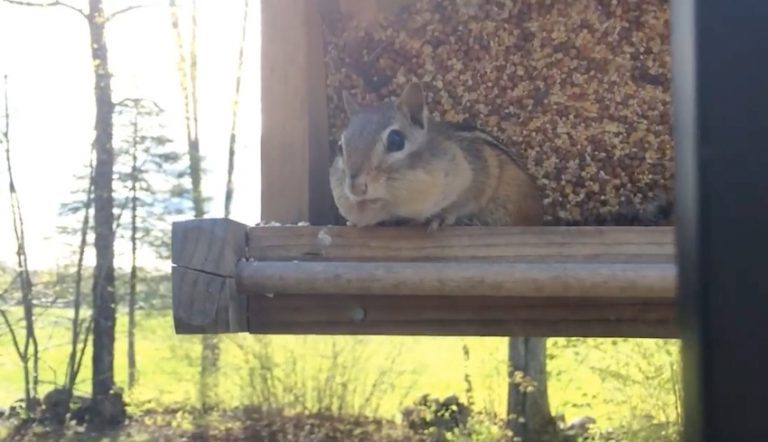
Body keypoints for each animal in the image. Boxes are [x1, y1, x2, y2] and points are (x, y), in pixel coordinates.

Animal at [329, 81, 544, 229]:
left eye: (396, 141)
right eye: (340, 147)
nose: (356, 188)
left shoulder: (477, 172)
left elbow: (463, 200)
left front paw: (442, 217)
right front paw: (357, 219)